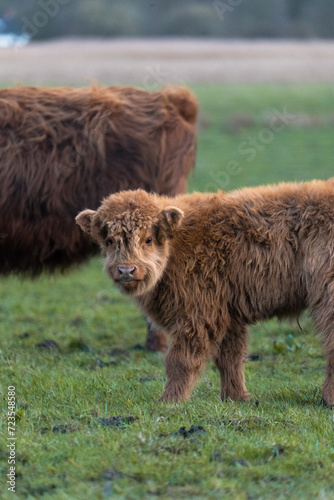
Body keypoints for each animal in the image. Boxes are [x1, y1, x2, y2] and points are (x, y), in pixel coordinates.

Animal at [76, 181, 334, 406]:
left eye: (148, 239)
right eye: (110, 241)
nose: (126, 270)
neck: (177, 248)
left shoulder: (198, 315)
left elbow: (180, 360)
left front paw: (169, 400)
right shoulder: (228, 314)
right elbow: (230, 357)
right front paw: (236, 397)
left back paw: (328, 399)